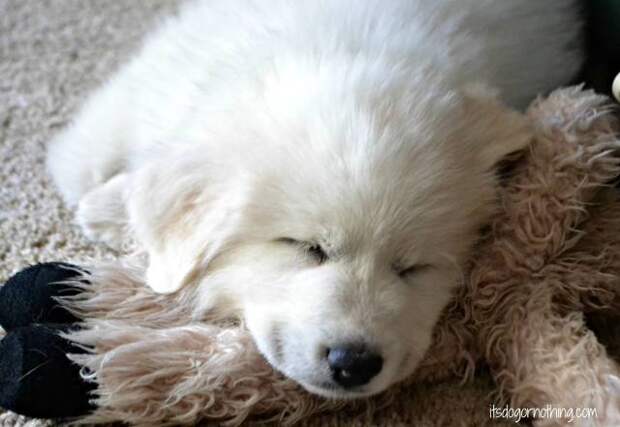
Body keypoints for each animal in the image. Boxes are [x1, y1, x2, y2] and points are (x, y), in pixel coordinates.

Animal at [47, 0, 580, 400]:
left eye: (413, 268)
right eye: (306, 247)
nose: (354, 363)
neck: (339, 47)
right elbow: (93, 156)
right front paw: (106, 205)